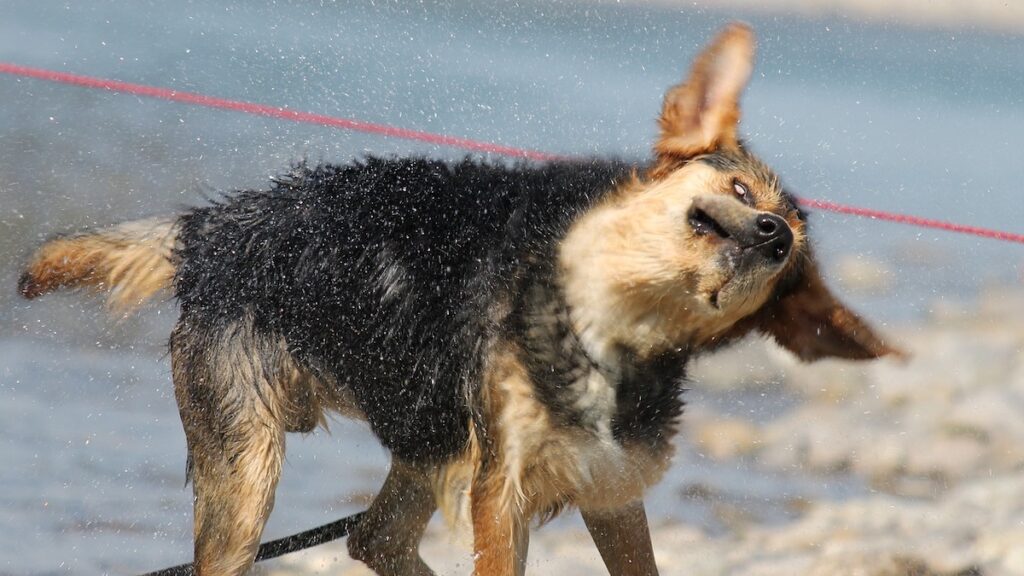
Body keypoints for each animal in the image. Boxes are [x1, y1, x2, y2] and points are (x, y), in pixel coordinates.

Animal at [16, 22, 897, 573]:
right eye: (742, 189)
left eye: (791, 263)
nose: (773, 237)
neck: (605, 328)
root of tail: (214, 226)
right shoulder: (501, 488)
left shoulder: (607, 486)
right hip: (248, 466)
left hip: (427, 429)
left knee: (373, 537)